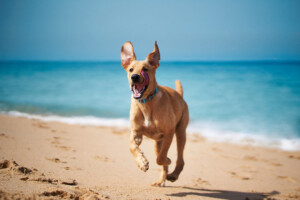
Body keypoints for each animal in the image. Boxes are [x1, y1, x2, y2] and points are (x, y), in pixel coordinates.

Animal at [120, 40, 189, 186]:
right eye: (130, 69)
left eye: (145, 69)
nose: (134, 77)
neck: (146, 103)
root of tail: (179, 95)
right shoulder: (136, 132)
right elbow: (131, 146)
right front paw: (141, 162)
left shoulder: (169, 132)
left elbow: (161, 158)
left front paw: (166, 159)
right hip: (158, 142)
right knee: (163, 161)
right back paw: (161, 180)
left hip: (180, 132)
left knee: (180, 159)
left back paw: (173, 174)